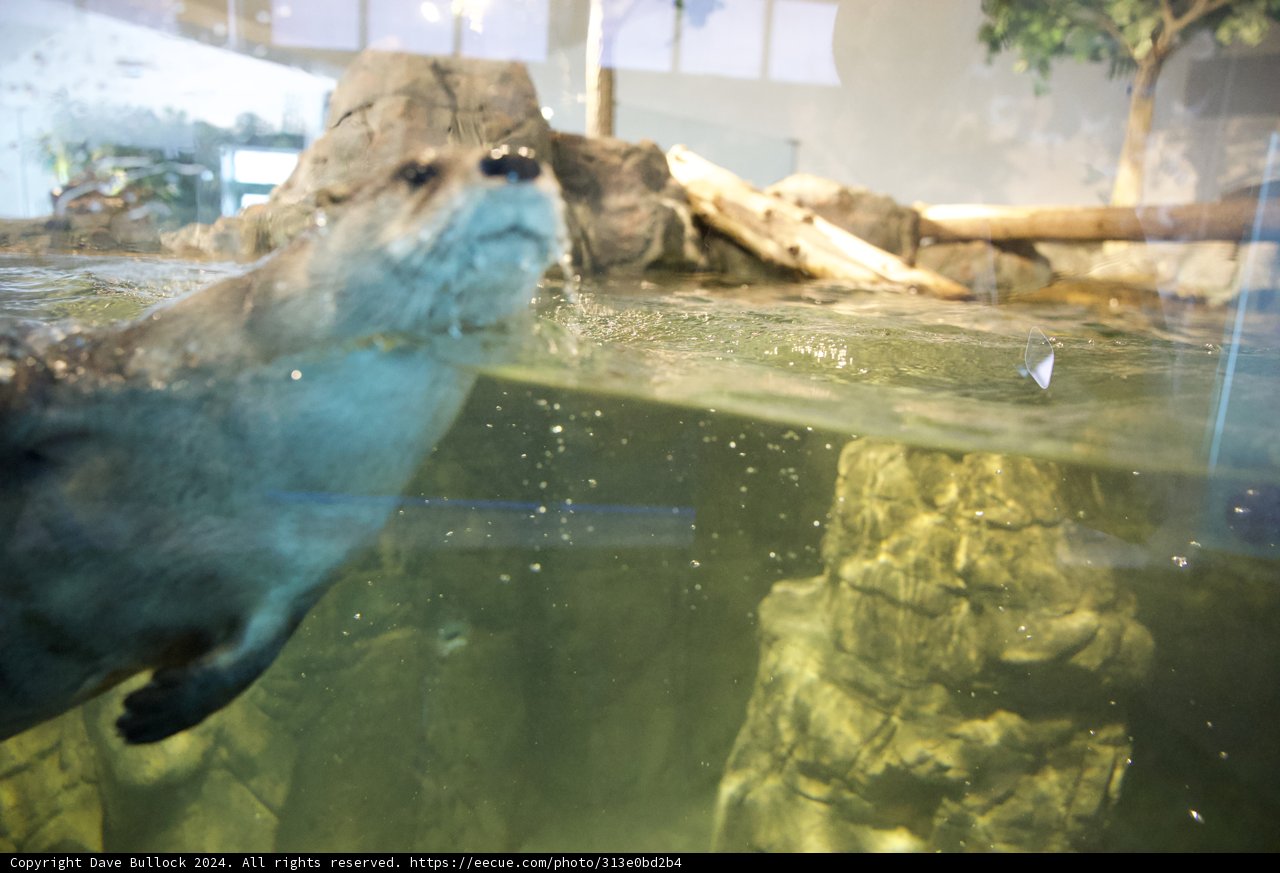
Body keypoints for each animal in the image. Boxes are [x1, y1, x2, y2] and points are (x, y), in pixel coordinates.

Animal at [0, 146, 565, 744]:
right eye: (417, 171)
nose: (516, 158)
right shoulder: (101, 373)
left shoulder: (304, 574)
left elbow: (252, 658)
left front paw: (155, 712)